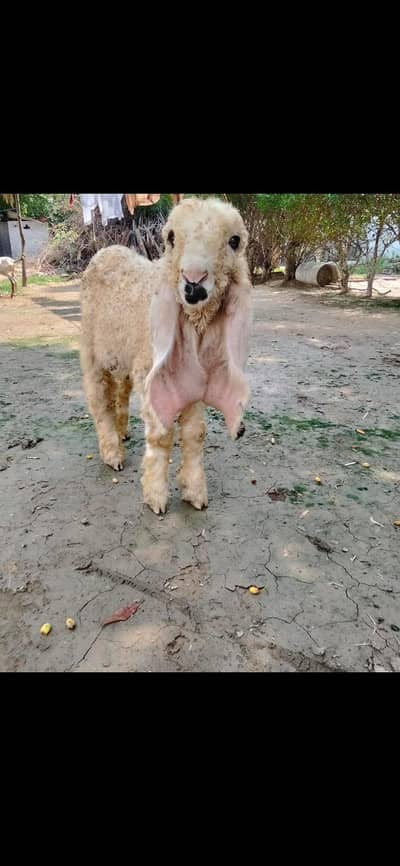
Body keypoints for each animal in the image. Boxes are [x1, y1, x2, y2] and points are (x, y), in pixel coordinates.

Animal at [80, 197, 252, 514]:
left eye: (234, 241)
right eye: (170, 238)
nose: (193, 281)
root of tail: (108, 249)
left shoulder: (195, 383)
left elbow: (195, 434)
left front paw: (194, 491)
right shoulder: (152, 376)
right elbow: (161, 436)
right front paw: (156, 496)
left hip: (125, 354)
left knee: (121, 391)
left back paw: (122, 431)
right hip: (92, 349)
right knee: (99, 399)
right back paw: (112, 452)